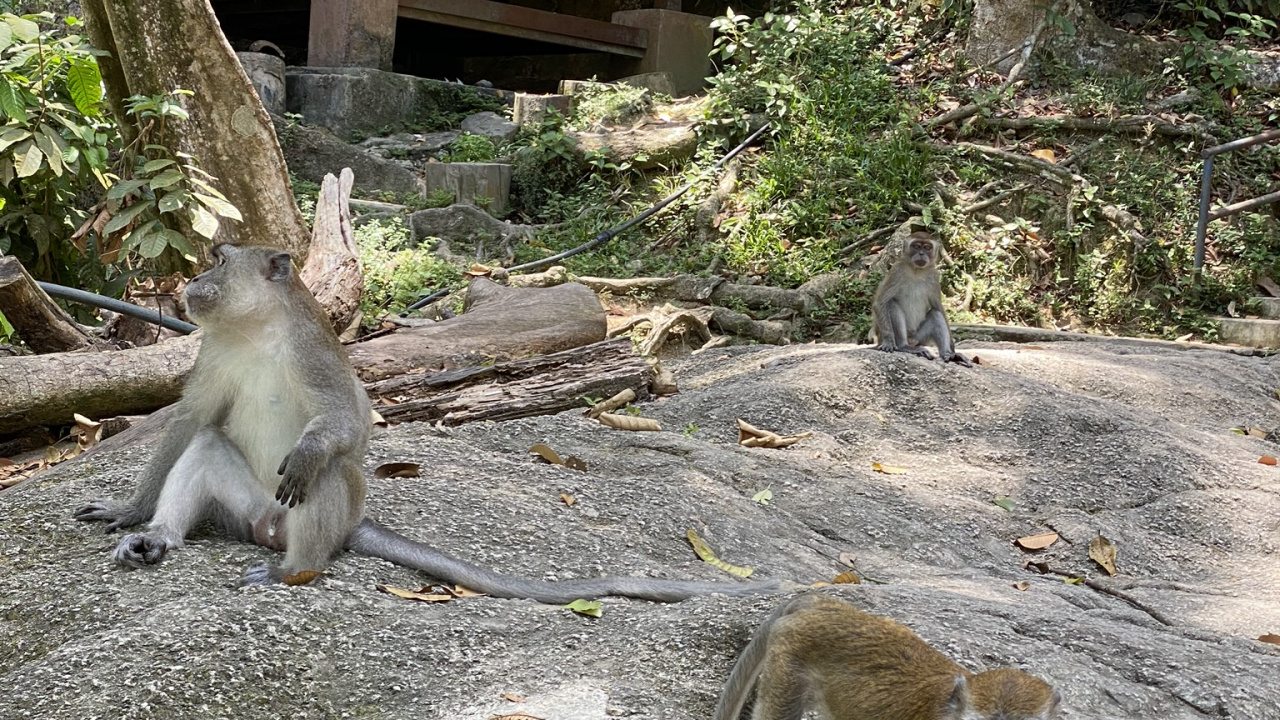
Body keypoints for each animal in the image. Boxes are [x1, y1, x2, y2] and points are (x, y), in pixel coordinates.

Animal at [73, 244, 780, 603]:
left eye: (221, 260)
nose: (194, 279)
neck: (255, 330)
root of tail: (279, 534)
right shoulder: (215, 350)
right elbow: (189, 420)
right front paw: (132, 511)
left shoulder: (312, 352)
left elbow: (351, 424)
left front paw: (317, 447)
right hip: (252, 510)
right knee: (208, 441)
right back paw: (159, 538)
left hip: (315, 520)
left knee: (324, 475)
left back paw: (296, 570)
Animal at [869, 232, 971, 367]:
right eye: (916, 246)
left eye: (927, 247)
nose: (921, 253)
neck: (917, 271)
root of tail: (911, 341)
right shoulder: (897, 270)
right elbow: (880, 302)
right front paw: (889, 341)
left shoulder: (934, 275)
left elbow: (938, 308)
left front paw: (953, 350)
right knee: (891, 304)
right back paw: (903, 347)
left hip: (920, 338)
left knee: (936, 314)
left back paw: (948, 354)